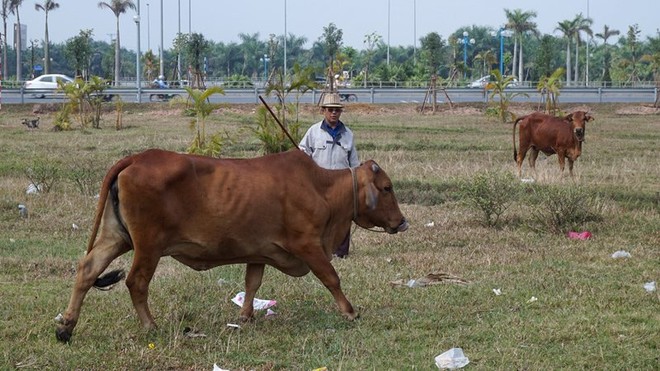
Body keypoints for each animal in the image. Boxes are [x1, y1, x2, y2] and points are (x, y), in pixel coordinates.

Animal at [56, 148, 408, 342]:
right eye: (386, 188)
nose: (402, 222)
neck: (321, 188)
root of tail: (136, 158)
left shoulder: (260, 252)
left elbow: (252, 283)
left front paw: (246, 316)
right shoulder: (308, 244)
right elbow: (331, 278)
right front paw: (349, 312)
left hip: (115, 237)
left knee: (87, 271)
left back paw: (66, 327)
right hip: (148, 246)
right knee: (136, 282)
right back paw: (150, 325)